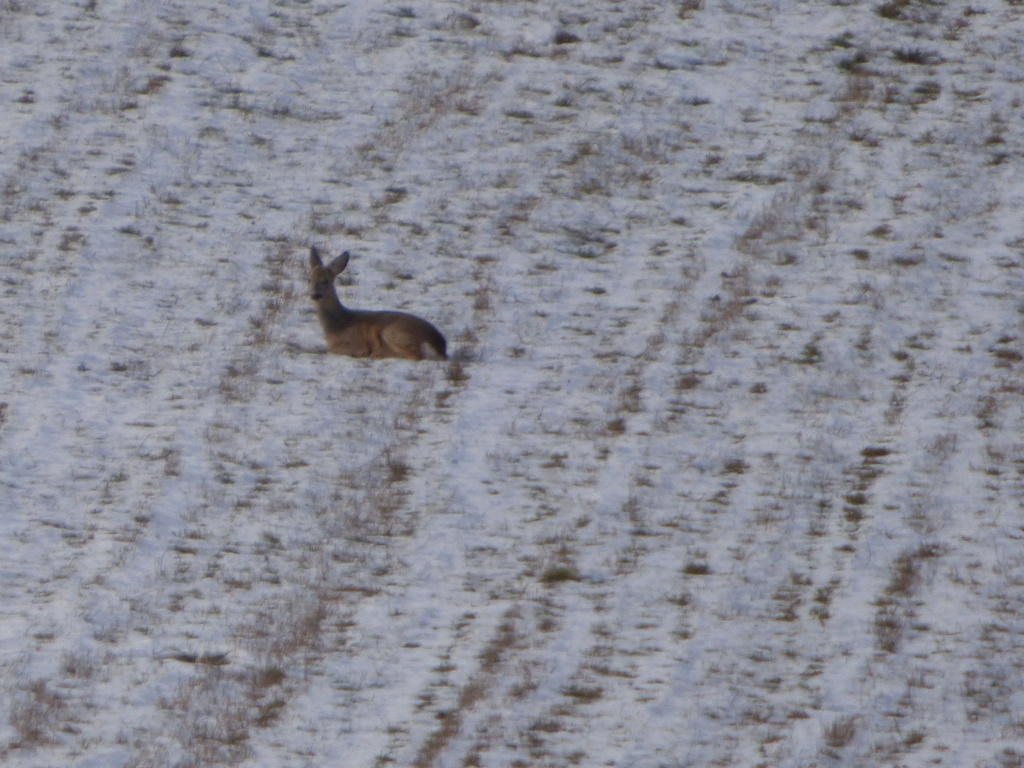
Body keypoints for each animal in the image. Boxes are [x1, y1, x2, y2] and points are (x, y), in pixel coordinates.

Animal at [305, 249, 446, 364]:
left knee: (416, 356)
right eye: (309, 279)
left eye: (326, 281)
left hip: (393, 332)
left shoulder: (353, 344)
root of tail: (439, 344)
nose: (315, 295)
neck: (337, 325)